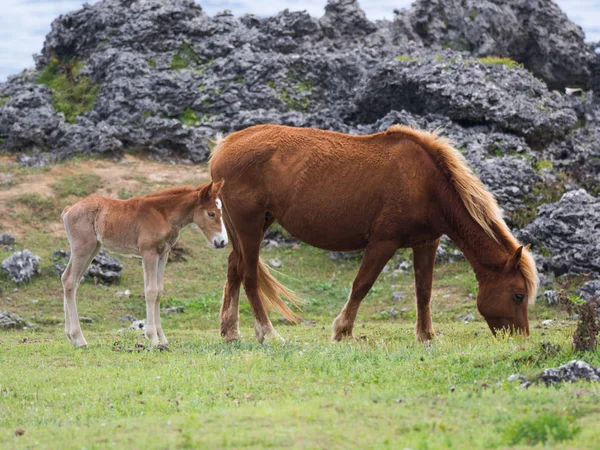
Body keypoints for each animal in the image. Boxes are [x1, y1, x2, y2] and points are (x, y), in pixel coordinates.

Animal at [60, 181, 227, 346]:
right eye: (211, 213)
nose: (222, 242)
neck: (162, 214)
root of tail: (69, 210)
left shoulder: (163, 254)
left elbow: (159, 291)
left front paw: (162, 338)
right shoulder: (149, 253)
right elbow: (151, 291)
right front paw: (152, 337)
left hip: (93, 248)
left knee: (68, 279)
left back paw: (70, 336)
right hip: (83, 248)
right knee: (70, 281)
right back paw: (79, 338)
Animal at [211, 125, 540, 342]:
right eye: (518, 294)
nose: (520, 338)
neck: (426, 183)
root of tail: (224, 146)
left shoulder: (426, 243)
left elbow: (424, 290)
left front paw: (426, 336)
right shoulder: (383, 242)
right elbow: (362, 284)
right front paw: (342, 330)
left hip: (255, 226)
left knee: (234, 269)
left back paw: (230, 331)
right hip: (249, 226)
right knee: (249, 275)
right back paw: (267, 333)